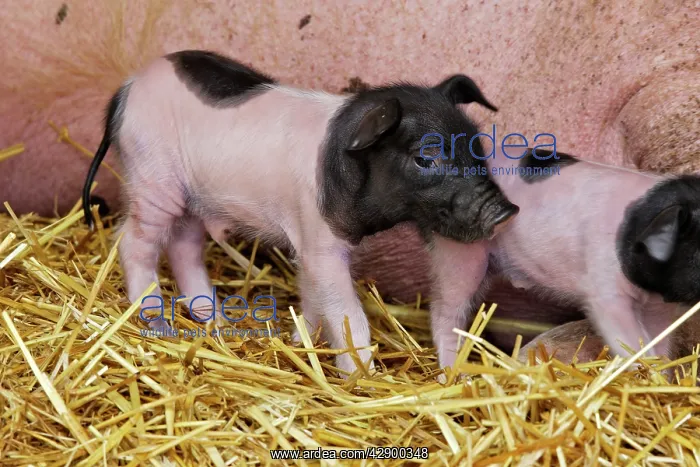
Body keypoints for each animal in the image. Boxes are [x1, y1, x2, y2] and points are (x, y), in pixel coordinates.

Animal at [81, 49, 519, 376]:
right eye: (425, 158)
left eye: (478, 145)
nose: (506, 211)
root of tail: (125, 90)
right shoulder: (321, 242)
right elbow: (345, 311)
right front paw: (363, 377)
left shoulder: (307, 243)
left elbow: (312, 296)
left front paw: (299, 342)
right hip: (153, 179)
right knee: (134, 242)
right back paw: (156, 321)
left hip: (192, 197)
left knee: (184, 248)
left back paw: (217, 321)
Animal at [428, 143, 700, 374]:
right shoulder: (605, 290)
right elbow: (628, 339)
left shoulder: (658, 307)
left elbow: (660, 342)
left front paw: (661, 376)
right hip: (457, 252)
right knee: (445, 313)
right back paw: (453, 374)